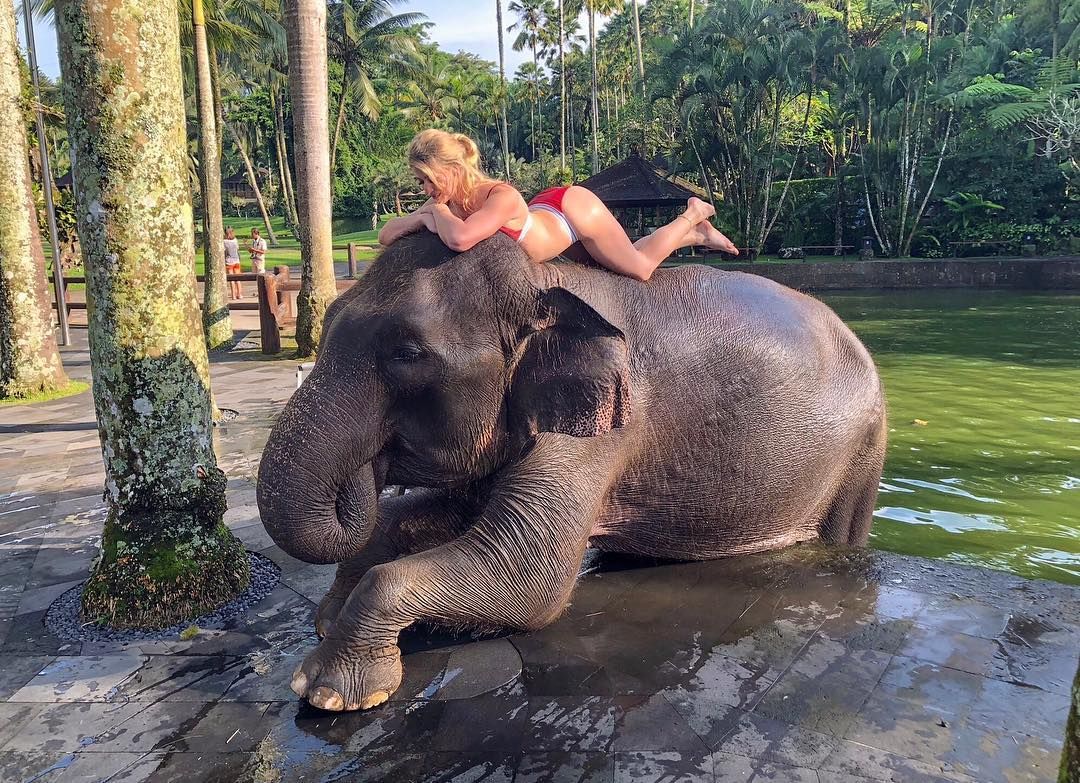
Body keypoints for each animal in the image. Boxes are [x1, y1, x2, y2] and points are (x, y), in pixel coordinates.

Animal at [256, 232, 887, 712]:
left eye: (407, 353)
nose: (364, 469)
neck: (545, 281)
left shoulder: (606, 428)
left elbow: (531, 577)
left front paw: (328, 690)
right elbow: (444, 516)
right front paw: (327, 621)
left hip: (862, 455)